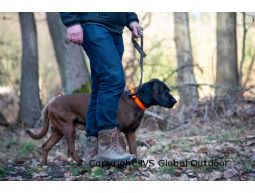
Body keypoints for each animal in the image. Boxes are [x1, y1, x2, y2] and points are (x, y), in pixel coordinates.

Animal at [26, 79, 177, 165]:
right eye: (163, 90)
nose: (175, 101)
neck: (134, 100)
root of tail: (49, 104)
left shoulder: (130, 132)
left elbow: (134, 149)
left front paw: (136, 162)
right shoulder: (117, 130)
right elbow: (121, 147)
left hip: (58, 131)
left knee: (45, 146)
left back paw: (44, 165)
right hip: (68, 128)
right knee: (71, 149)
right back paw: (80, 162)